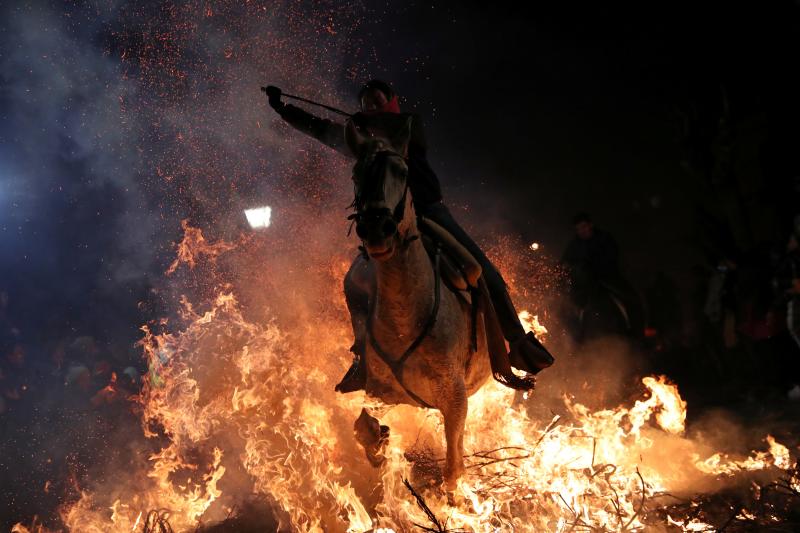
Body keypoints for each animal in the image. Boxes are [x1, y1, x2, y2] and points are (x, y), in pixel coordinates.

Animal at [340, 118, 536, 488]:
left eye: (402, 171)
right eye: (356, 173)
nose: (377, 230)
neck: (407, 316)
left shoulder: (455, 401)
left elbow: (453, 470)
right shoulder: (380, 392)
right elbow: (364, 427)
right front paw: (379, 444)